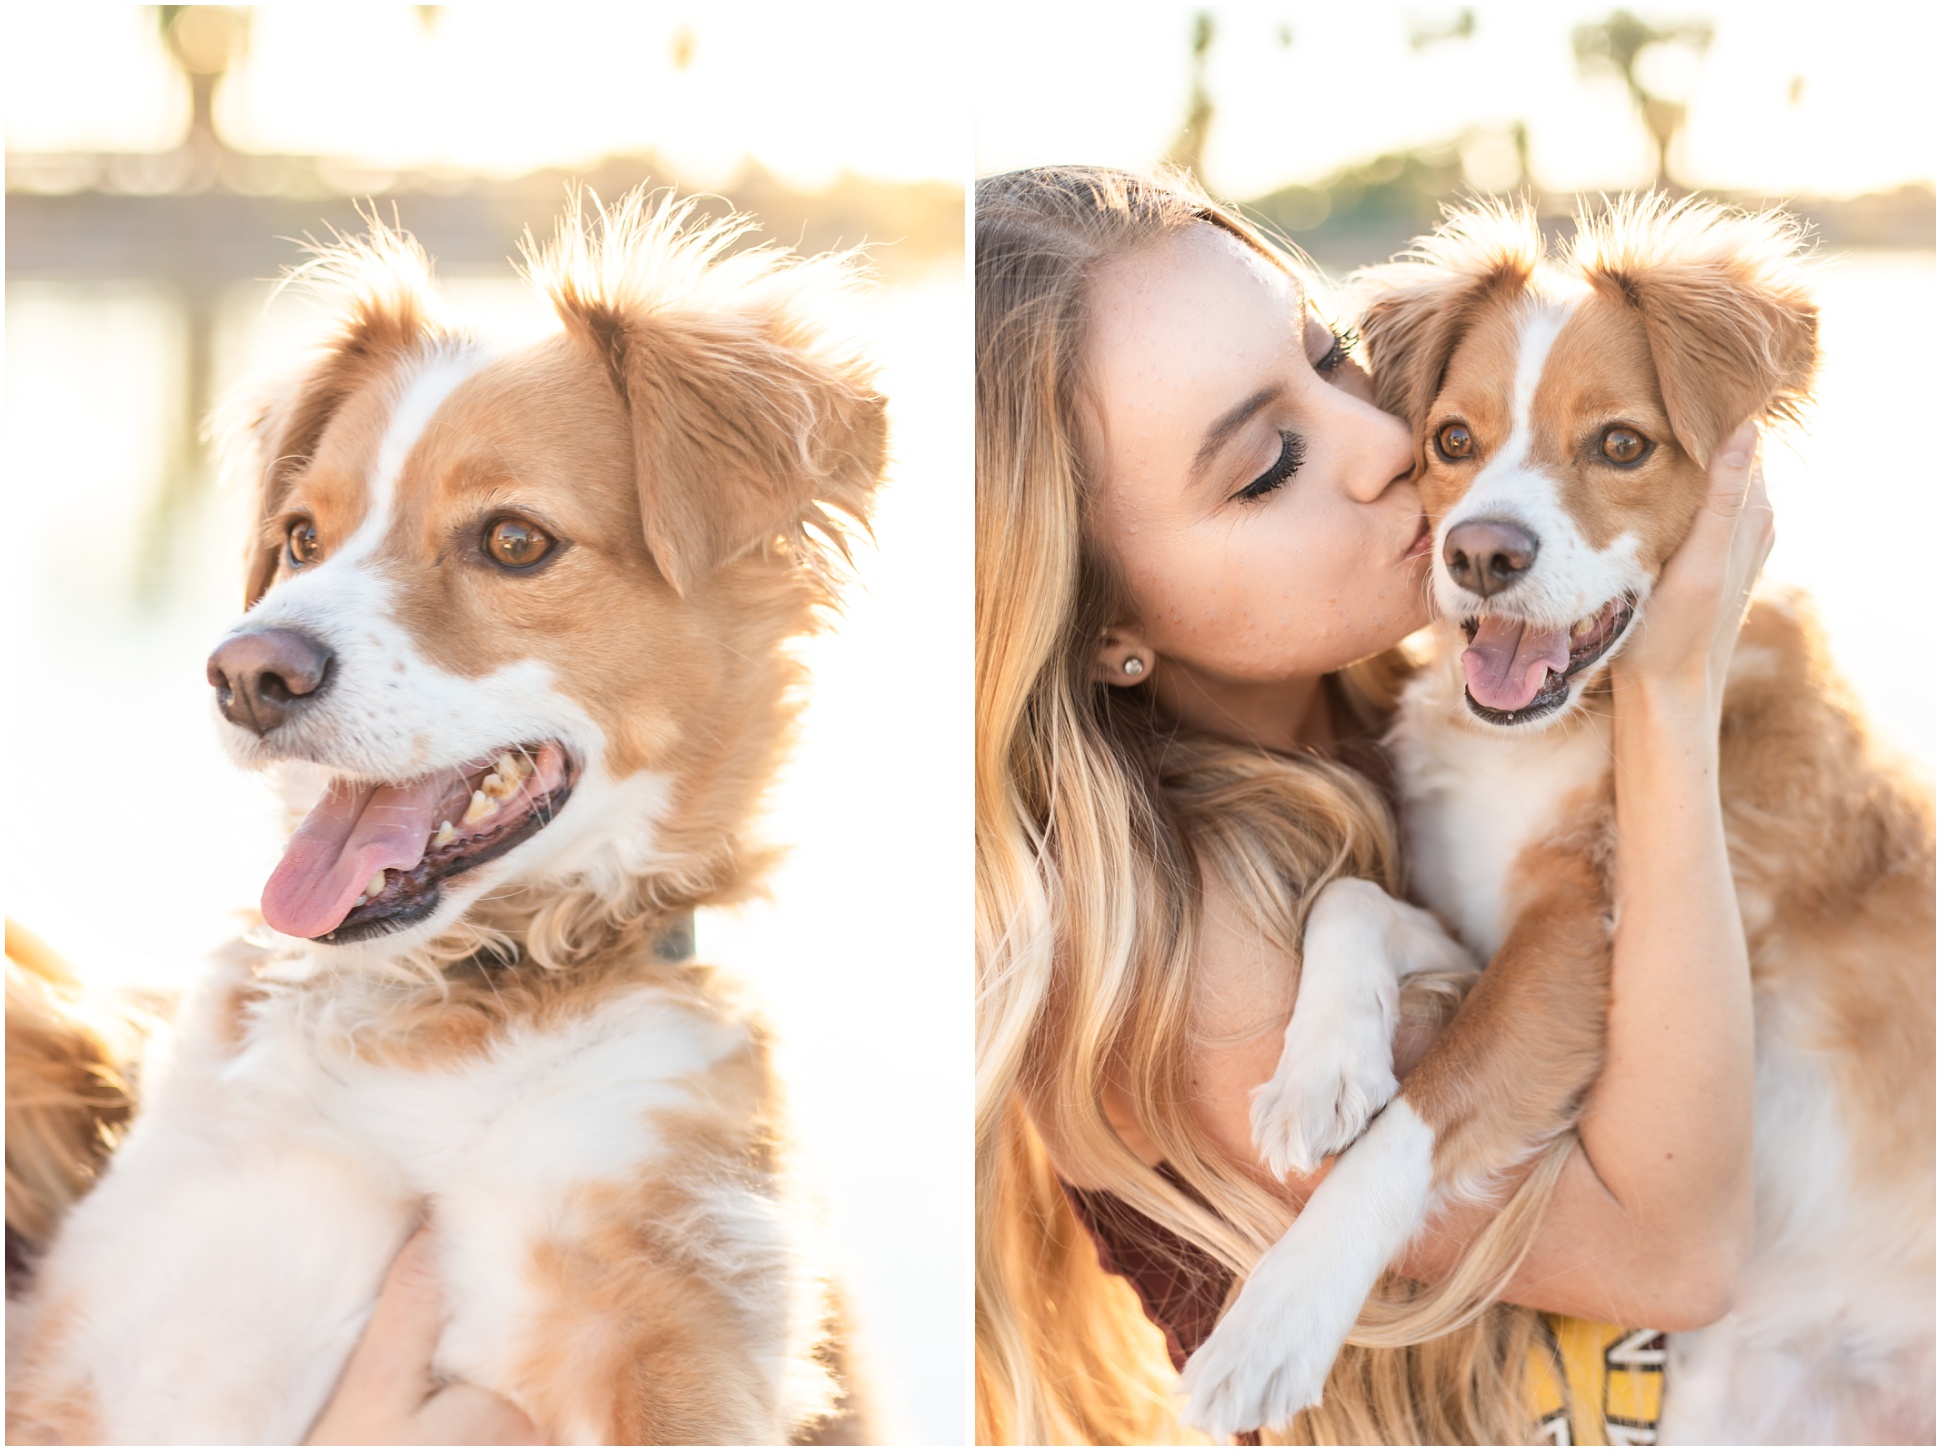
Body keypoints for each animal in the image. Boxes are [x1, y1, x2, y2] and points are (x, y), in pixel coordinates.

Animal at [1172, 195, 1933, 1443]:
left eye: (1621, 445)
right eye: (1451, 441)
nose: (1481, 551)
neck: (1544, 736)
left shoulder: (1580, 945)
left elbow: (1423, 1111)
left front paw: (1278, 1313)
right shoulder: (1483, 922)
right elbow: (1351, 895)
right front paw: (1320, 1068)